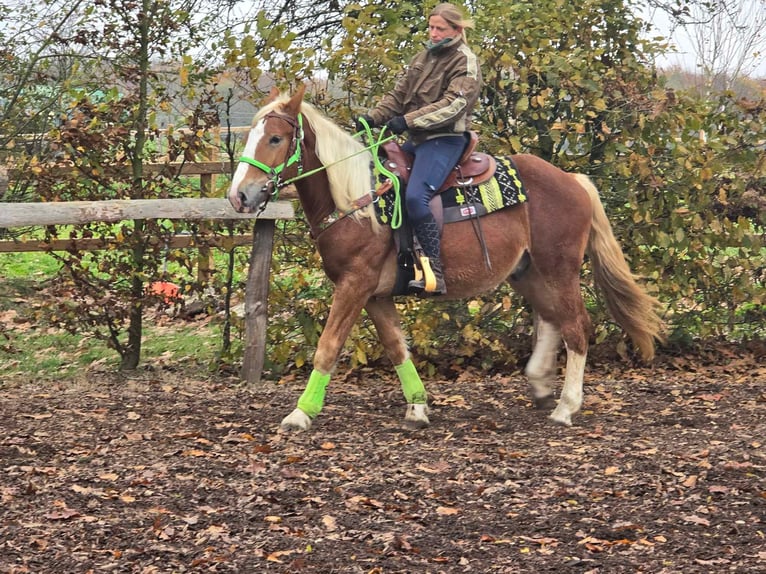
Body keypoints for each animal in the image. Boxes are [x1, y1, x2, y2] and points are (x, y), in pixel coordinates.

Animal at [230, 85, 664, 432]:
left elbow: (328, 346)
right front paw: (418, 408)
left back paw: (566, 407)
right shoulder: (375, 295)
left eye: (275, 138)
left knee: (576, 326)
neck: (358, 201)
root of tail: (572, 180)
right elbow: (397, 347)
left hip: (560, 268)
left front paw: (300, 413)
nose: (239, 196)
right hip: (528, 272)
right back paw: (541, 385)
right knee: (553, 320)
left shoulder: (355, 285)